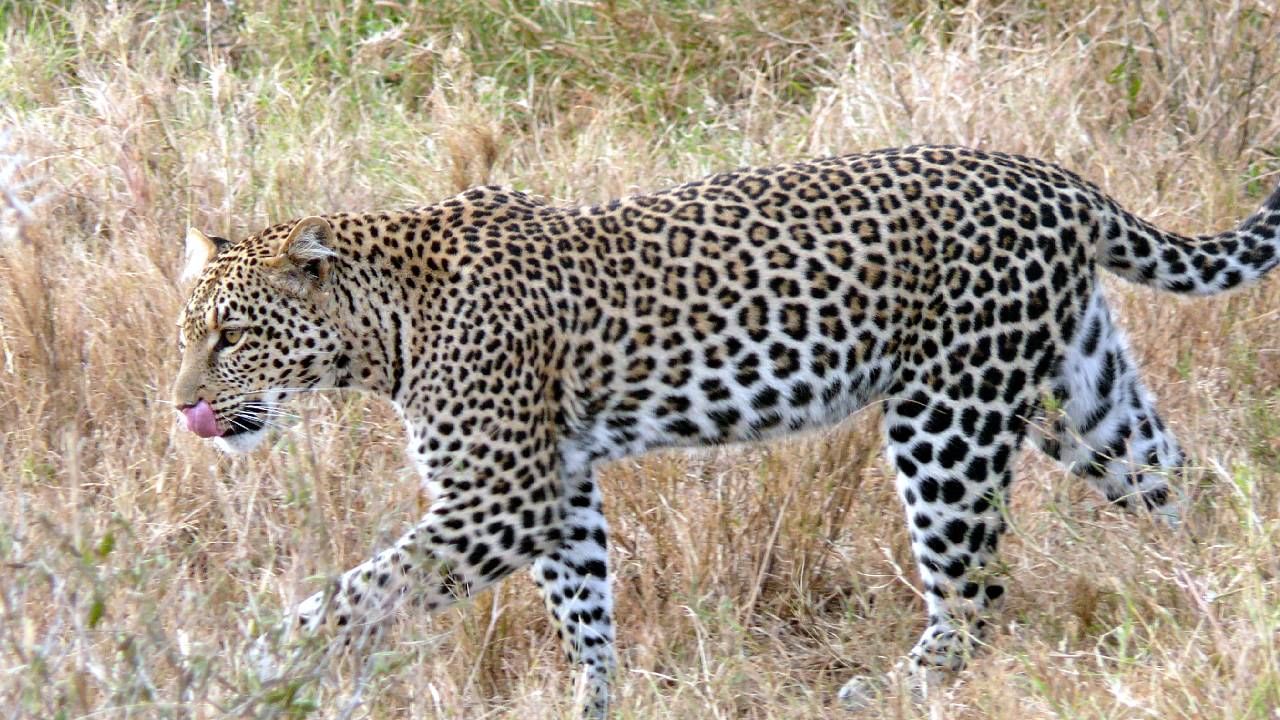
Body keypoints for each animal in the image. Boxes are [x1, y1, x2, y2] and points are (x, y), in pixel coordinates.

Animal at [172, 145, 1280, 715]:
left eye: (232, 335)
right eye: (190, 333)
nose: (182, 406)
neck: (385, 326)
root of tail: (1056, 179)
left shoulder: (500, 499)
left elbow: (359, 592)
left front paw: (258, 668)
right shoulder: (557, 489)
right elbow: (584, 608)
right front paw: (594, 703)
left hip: (947, 414)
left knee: (972, 593)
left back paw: (889, 689)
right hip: (1078, 392)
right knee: (1179, 481)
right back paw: (1225, 599)